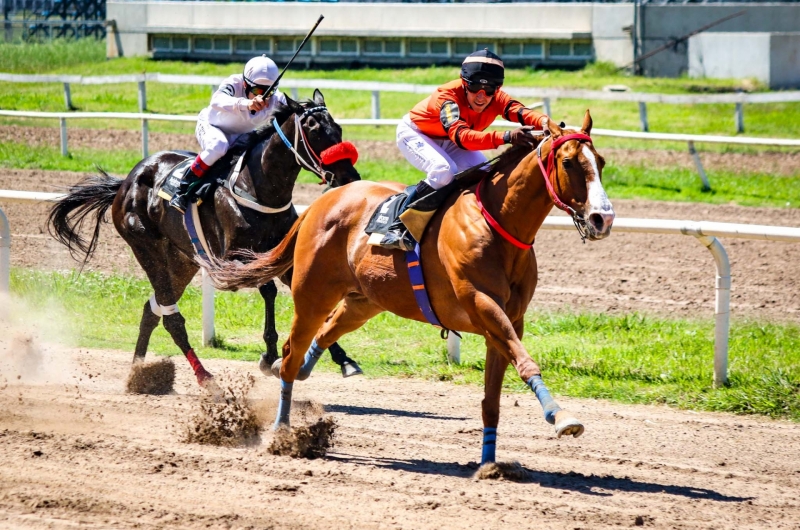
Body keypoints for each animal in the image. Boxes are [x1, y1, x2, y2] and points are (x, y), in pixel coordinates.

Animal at [48, 89, 360, 388]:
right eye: (313, 129)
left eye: (338, 129)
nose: (348, 177)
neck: (257, 189)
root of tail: (127, 181)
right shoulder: (233, 259)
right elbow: (268, 290)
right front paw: (269, 355)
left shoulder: (281, 256)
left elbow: (308, 302)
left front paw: (343, 359)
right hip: (146, 247)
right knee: (171, 317)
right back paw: (205, 378)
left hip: (181, 261)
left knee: (152, 310)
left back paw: (138, 375)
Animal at [206, 110, 612, 462]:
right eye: (569, 163)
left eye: (601, 161)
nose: (602, 218)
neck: (496, 225)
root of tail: (319, 205)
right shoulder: (483, 306)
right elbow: (525, 361)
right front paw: (562, 418)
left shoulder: (508, 321)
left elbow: (492, 398)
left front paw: (489, 463)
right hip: (312, 293)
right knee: (292, 354)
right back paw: (282, 430)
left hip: (365, 300)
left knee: (326, 331)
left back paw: (324, 367)